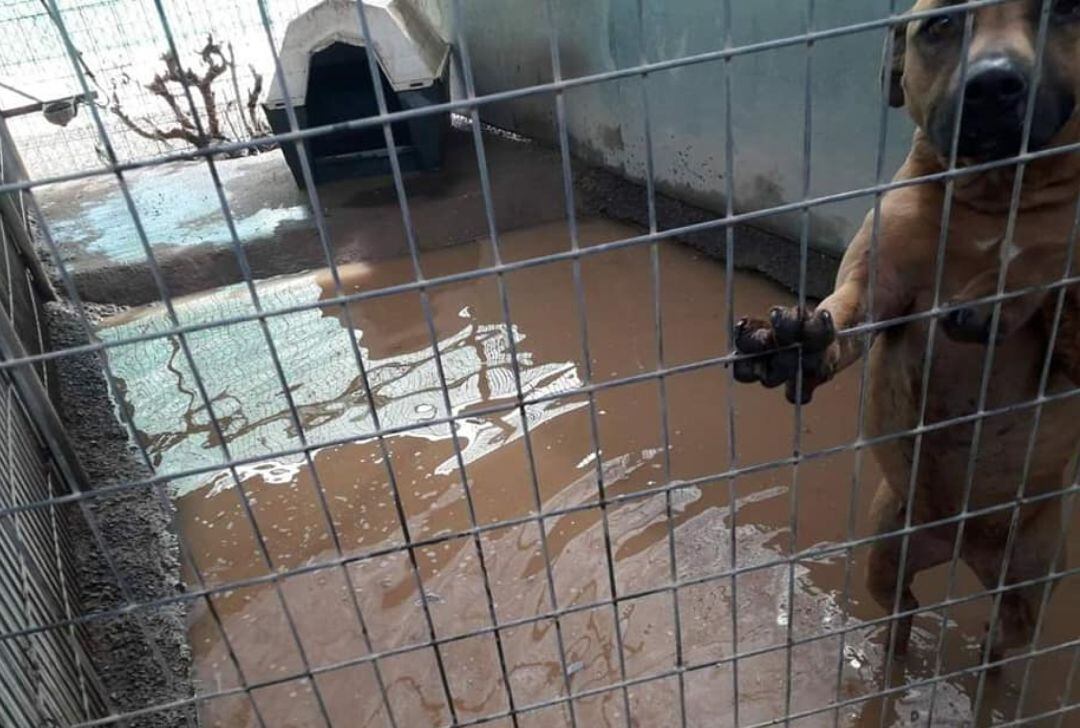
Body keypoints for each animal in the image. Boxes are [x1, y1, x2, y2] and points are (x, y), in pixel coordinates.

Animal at [734, 0, 1080, 661]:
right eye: (941, 25)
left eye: (1064, 11)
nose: (994, 84)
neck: (994, 194)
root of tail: (963, 543)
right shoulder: (875, 285)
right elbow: (844, 316)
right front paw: (794, 343)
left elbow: (1047, 267)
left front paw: (1000, 290)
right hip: (889, 545)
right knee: (902, 611)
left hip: (1029, 573)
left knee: (1004, 642)